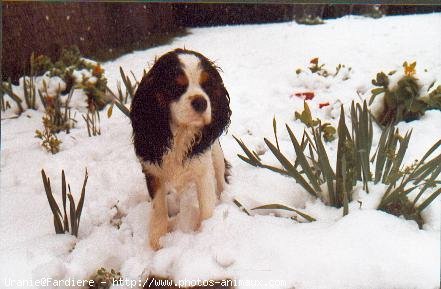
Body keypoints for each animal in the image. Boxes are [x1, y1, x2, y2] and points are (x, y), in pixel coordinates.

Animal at [130, 48, 230, 249]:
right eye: (176, 87)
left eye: (207, 85)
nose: (201, 102)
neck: (179, 134)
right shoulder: (152, 170)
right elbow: (158, 207)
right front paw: (157, 240)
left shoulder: (203, 171)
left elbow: (206, 206)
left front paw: (205, 233)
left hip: (216, 153)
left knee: (220, 176)